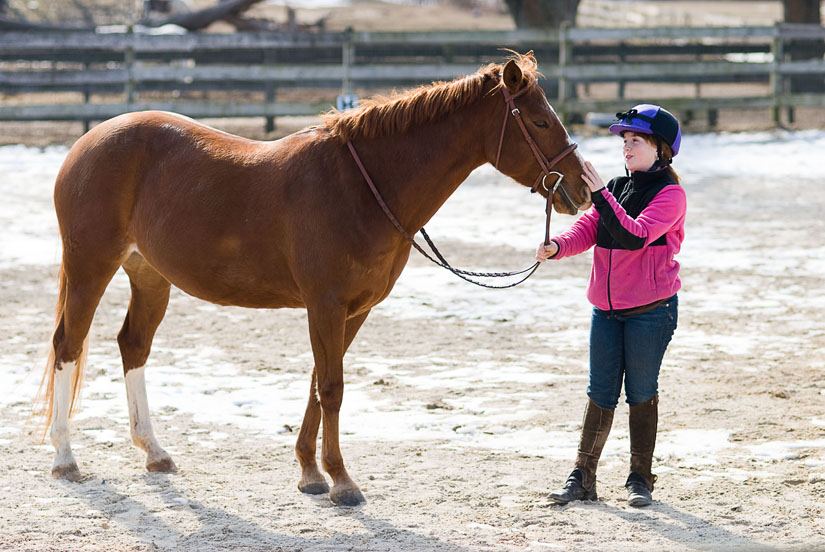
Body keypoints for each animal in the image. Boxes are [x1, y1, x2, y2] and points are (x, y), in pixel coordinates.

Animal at [35, 51, 588, 504]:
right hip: (90, 268)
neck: (360, 186)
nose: (583, 189)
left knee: (133, 346)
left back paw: (154, 451)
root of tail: (87, 143)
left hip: (150, 276)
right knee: (68, 345)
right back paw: (65, 459)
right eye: (540, 120)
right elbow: (333, 388)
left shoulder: (353, 309)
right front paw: (341, 480)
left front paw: (309, 472)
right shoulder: (325, 304)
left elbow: (318, 383)